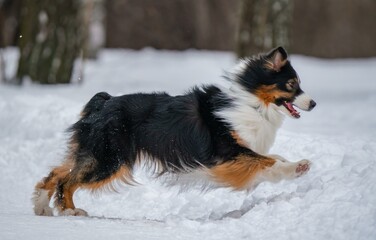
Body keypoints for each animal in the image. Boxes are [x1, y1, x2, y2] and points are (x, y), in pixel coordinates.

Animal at [32, 46, 316, 217]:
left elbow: (271, 158)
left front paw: (294, 166)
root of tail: (104, 102)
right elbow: (267, 162)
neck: (252, 103)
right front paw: (299, 167)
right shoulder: (227, 154)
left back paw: (42, 206)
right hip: (110, 159)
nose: (313, 103)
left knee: (57, 172)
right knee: (67, 180)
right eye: (292, 84)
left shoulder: (239, 153)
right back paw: (69, 211)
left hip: (95, 153)